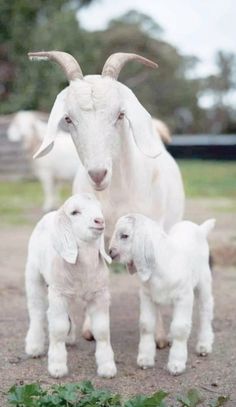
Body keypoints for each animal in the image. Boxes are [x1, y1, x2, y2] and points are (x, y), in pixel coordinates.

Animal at [28, 51, 184, 350]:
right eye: (68, 119)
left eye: (120, 114)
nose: (98, 173)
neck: (116, 194)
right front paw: (90, 327)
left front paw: (158, 335)